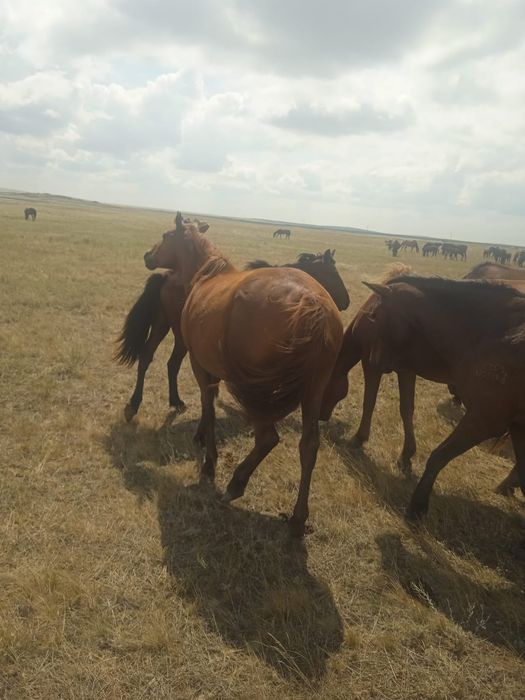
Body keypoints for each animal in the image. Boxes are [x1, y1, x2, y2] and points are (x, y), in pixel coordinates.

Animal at [116, 249, 349, 421]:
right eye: (334, 273)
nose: (346, 302)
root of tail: (167, 275)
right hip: (178, 334)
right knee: (167, 362)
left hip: (162, 325)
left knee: (151, 358)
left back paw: (151, 402)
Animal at [142, 213, 343, 536]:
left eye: (165, 235)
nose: (148, 256)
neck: (206, 274)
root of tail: (313, 305)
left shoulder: (201, 366)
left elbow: (209, 407)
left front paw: (209, 462)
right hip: (313, 390)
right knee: (309, 445)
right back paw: (298, 517)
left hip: (260, 392)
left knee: (267, 438)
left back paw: (236, 483)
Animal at [321, 275, 525, 523]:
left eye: (375, 316)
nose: (321, 416)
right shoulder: (405, 369)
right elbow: (406, 409)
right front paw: (406, 455)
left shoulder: (373, 366)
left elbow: (370, 403)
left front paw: (359, 439)